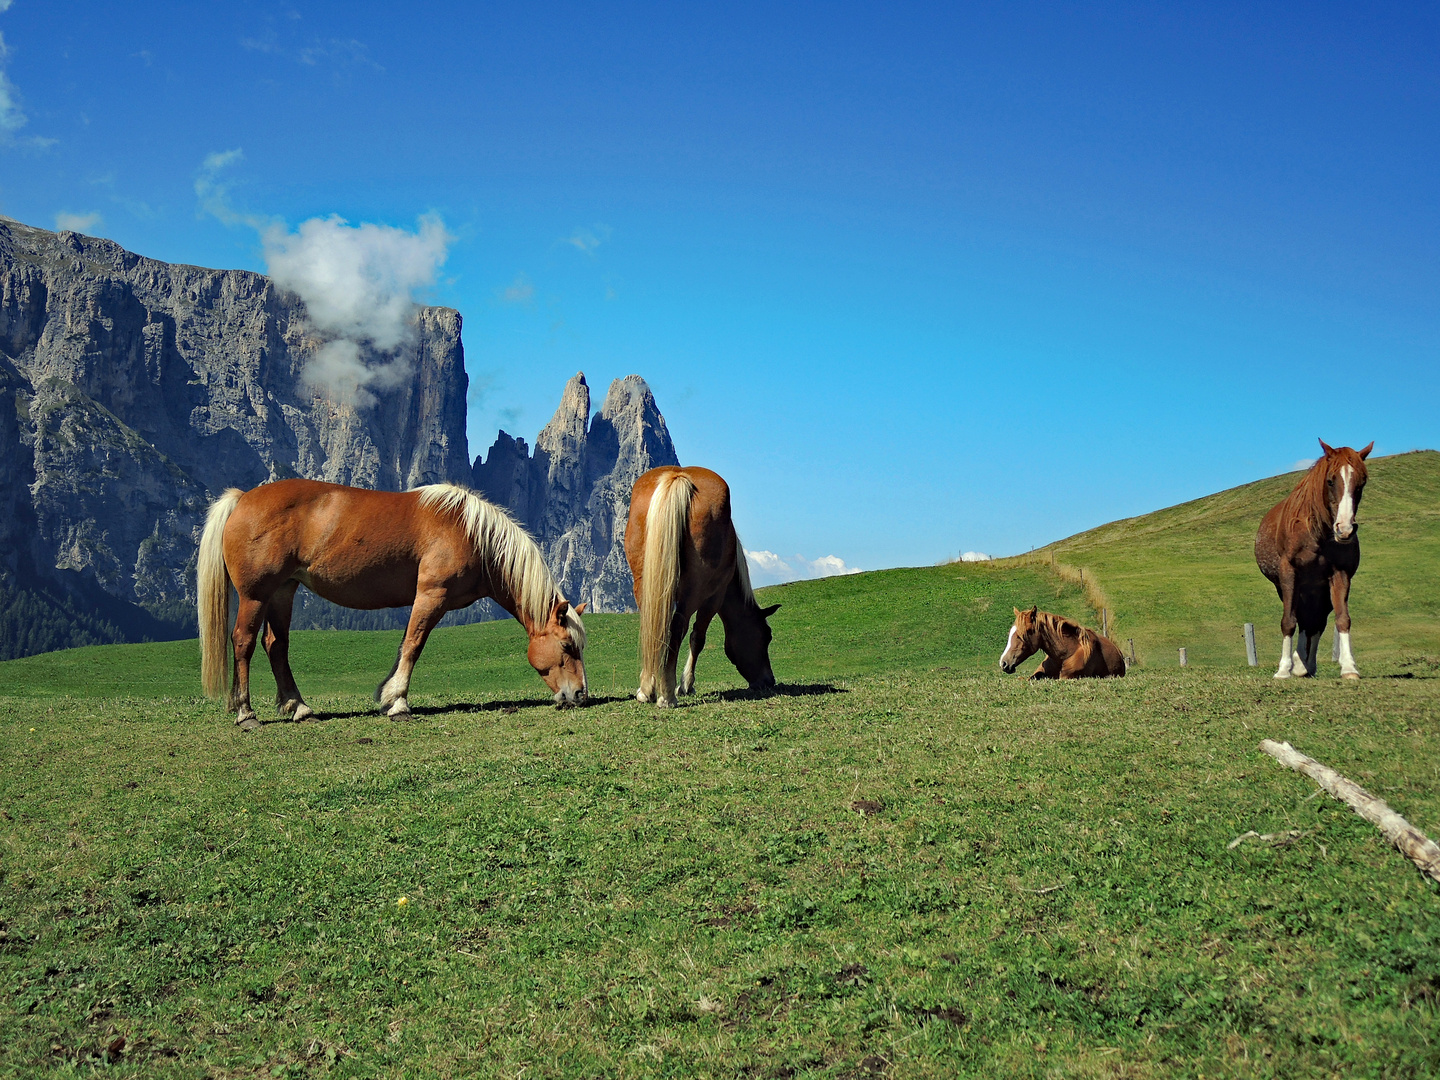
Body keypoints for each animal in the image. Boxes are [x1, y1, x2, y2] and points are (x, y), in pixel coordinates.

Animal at [200, 483, 587, 731]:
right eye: (568, 646)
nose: (580, 694)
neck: (471, 533)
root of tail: (243, 499)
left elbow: (403, 645)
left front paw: (388, 697)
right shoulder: (431, 596)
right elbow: (413, 646)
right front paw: (398, 703)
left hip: (283, 591)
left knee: (276, 646)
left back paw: (299, 708)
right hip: (256, 595)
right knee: (244, 642)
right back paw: (246, 713)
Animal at [622, 466, 777, 711]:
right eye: (766, 636)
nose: (769, 681)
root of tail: (678, 477)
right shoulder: (714, 596)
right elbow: (698, 638)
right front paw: (685, 685)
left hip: (643, 583)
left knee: (653, 627)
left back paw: (647, 689)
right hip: (695, 590)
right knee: (678, 627)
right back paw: (667, 695)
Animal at [1255, 437, 1376, 676]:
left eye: (1361, 483)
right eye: (1330, 481)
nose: (1345, 530)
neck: (1317, 534)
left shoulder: (1340, 575)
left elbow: (1342, 619)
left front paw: (1349, 667)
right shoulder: (1289, 574)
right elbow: (1288, 621)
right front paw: (1283, 669)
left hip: (1318, 591)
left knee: (1315, 622)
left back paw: (1305, 665)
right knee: (1303, 619)